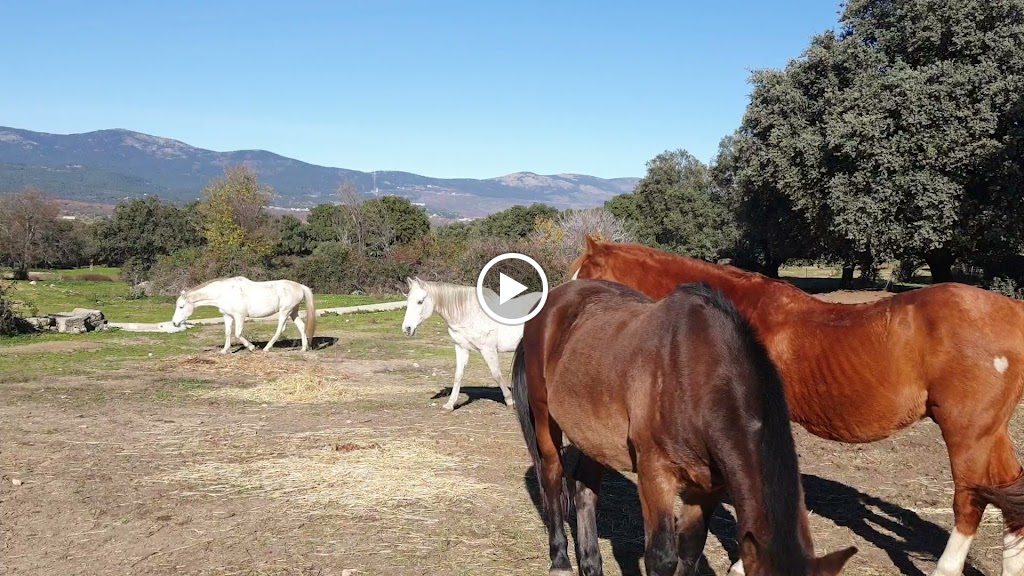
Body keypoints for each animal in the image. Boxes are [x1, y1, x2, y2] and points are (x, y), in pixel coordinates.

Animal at [171, 277, 317, 353]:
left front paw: (252, 347)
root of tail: (300, 286)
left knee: (280, 329)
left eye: (181, 306)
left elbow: (238, 334)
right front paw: (224, 350)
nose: (174, 323)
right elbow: (228, 333)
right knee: (301, 326)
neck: (224, 293)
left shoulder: (239, 316)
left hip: (285, 312)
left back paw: (266, 348)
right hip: (293, 312)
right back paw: (303, 348)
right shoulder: (227, 316)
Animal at [401, 276, 542, 410]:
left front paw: (509, 401)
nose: (407, 328)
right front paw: (450, 404)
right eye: (408, 301)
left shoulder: (488, 349)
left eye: (420, 301)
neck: (468, 314)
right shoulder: (461, 348)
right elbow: (458, 375)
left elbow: (496, 374)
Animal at [512, 278, 857, 576]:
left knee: (585, 491)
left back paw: (591, 565)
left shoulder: (708, 487)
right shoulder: (655, 474)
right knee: (553, 477)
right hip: (544, 420)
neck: (699, 378)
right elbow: (662, 557)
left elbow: (689, 552)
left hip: (593, 436)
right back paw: (560, 561)